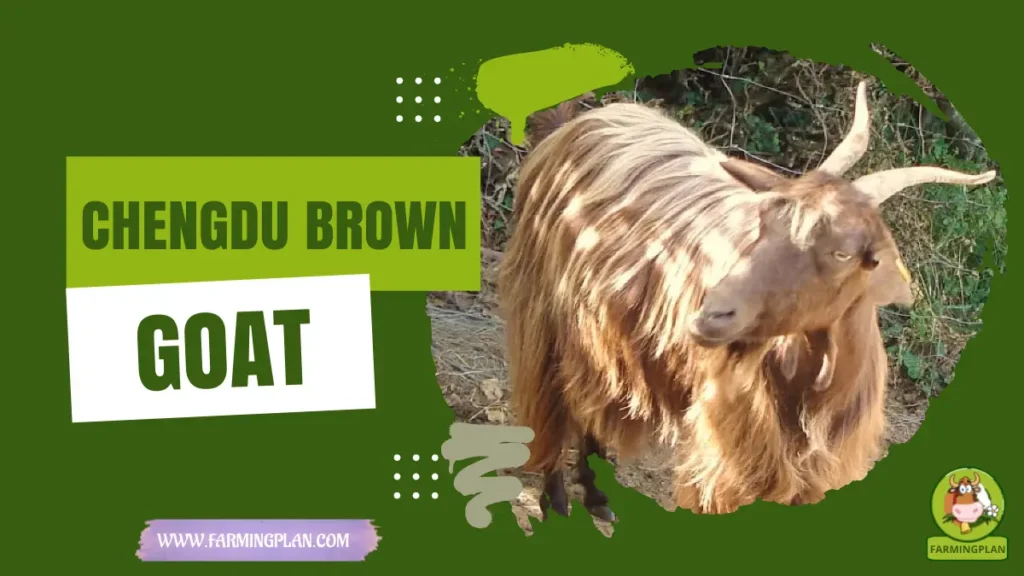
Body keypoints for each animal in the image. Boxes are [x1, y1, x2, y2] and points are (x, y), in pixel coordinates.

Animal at [498, 81, 996, 521]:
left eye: (842, 253)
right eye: (763, 219)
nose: (711, 312)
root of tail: (583, 121)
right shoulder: (732, 453)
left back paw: (597, 498)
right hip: (543, 312)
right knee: (553, 402)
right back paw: (556, 501)